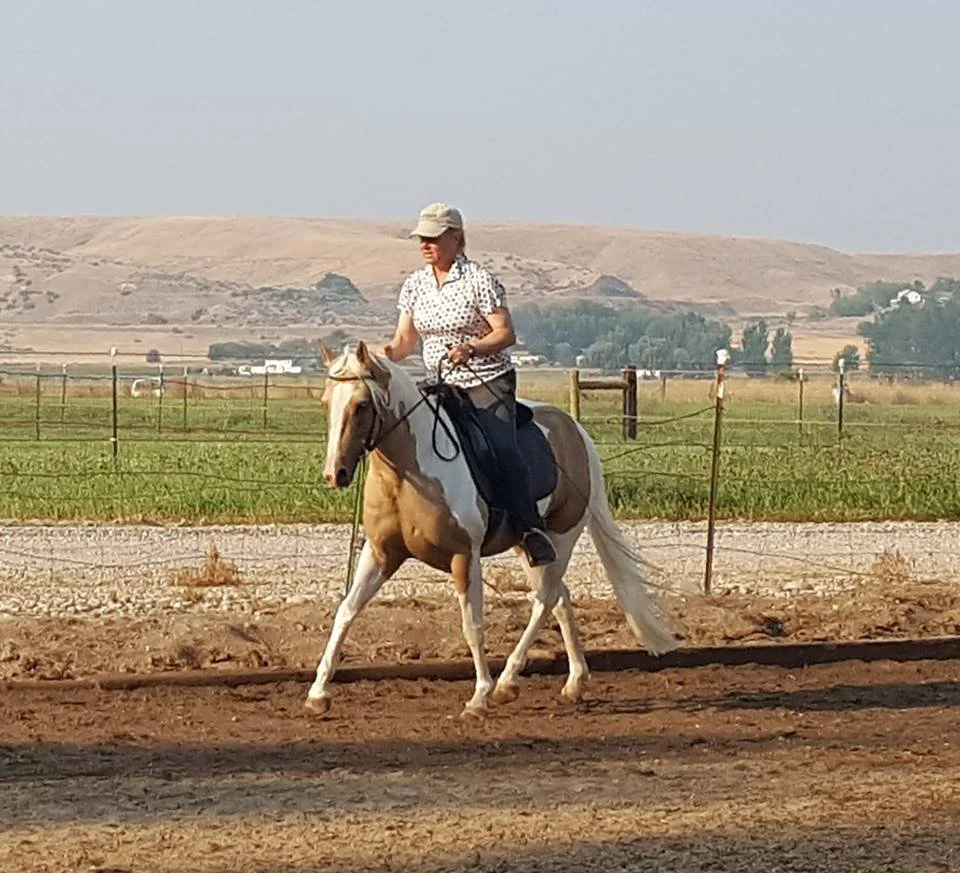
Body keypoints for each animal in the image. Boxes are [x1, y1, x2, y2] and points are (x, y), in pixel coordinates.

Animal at [305, 342, 677, 718]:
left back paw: (506, 683)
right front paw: (318, 693)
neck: (409, 471)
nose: (334, 473)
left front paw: (478, 698)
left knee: (545, 599)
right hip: (530, 546)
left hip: (562, 536)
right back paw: (573, 682)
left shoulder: (464, 557)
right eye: (325, 402)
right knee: (559, 597)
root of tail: (576, 431)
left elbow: (473, 625)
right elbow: (346, 611)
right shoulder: (381, 552)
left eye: (361, 405)